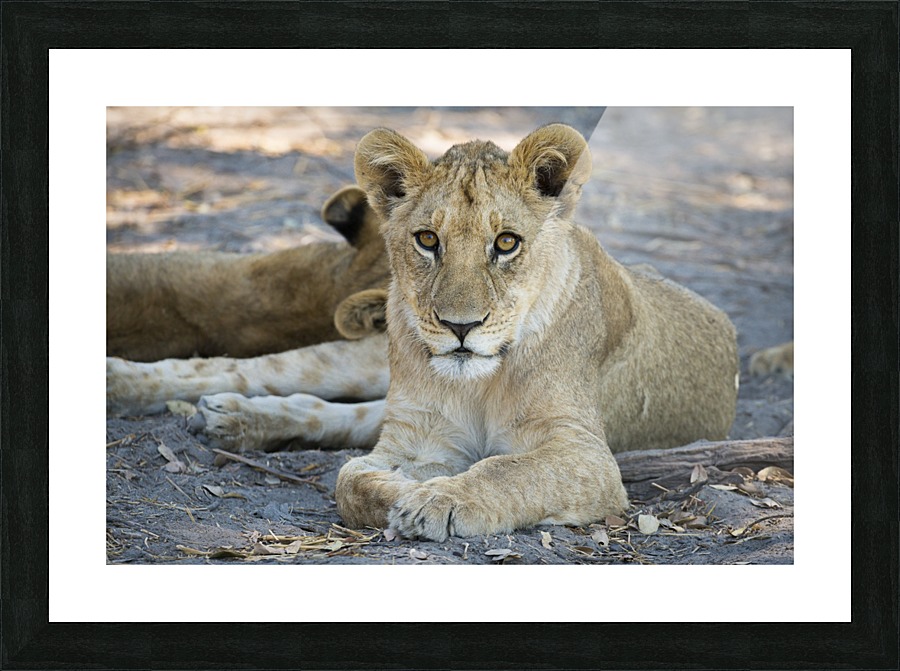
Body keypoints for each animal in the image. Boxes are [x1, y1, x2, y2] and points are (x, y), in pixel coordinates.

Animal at [334, 124, 739, 541]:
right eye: (427, 239)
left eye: (506, 242)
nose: (460, 326)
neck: (478, 385)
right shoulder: (416, 434)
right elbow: (350, 479)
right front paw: (405, 487)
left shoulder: (586, 452)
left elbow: (508, 470)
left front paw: (437, 498)